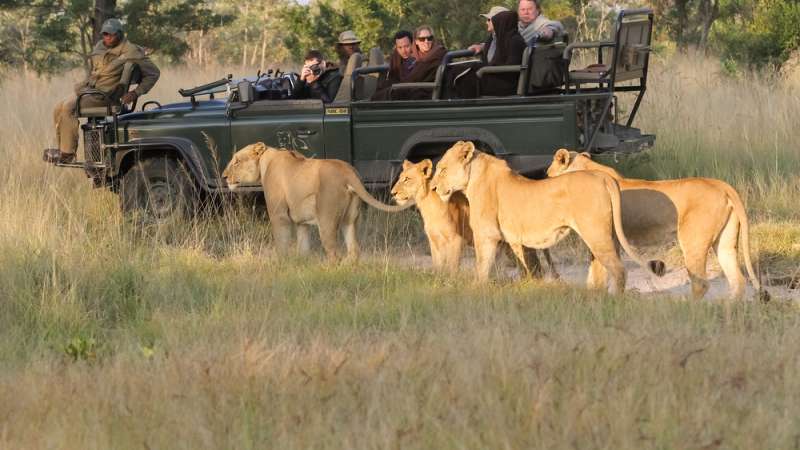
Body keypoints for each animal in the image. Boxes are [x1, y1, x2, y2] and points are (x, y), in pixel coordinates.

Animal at [222, 142, 412, 260]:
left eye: (237, 161)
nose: (223, 176)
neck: (265, 162)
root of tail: (348, 171)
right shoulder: (302, 223)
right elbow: (303, 247)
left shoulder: (279, 215)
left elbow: (281, 243)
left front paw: (281, 264)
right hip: (350, 220)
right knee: (353, 251)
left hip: (326, 220)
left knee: (334, 254)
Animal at [391, 159, 557, 277]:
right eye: (400, 178)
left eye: (407, 179)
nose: (392, 193)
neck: (425, 203)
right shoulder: (434, 241)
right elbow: (437, 267)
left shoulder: (455, 240)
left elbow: (452, 268)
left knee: (535, 268)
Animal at [429, 141, 664, 292]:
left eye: (442, 169)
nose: (433, 188)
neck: (473, 177)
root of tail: (604, 177)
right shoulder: (511, 239)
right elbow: (522, 264)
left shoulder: (487, 234)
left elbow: (482, 266)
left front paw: (475, 289)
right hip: (607, 236)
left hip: (596, 234)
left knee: (619, 270)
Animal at [547, 149, 765, 300]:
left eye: (548, 175)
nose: (545, 180)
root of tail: (722, 185)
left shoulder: (603, 235)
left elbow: (599, 273)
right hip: (725, 241)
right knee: (738, 281)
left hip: (693, 240)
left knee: (701, 283)